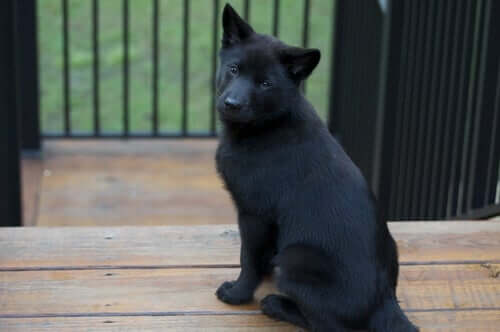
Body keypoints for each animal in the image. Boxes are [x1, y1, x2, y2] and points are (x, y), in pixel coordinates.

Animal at [215, 3, 418, 332]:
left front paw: (238, 293)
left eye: (265, 83)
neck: (269, 125)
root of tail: (384, 301)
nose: (231, 104)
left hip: (294, 259)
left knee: (328, 325)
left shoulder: (254, 214)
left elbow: (248, 259)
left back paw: (275, 305)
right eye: (234, 69)